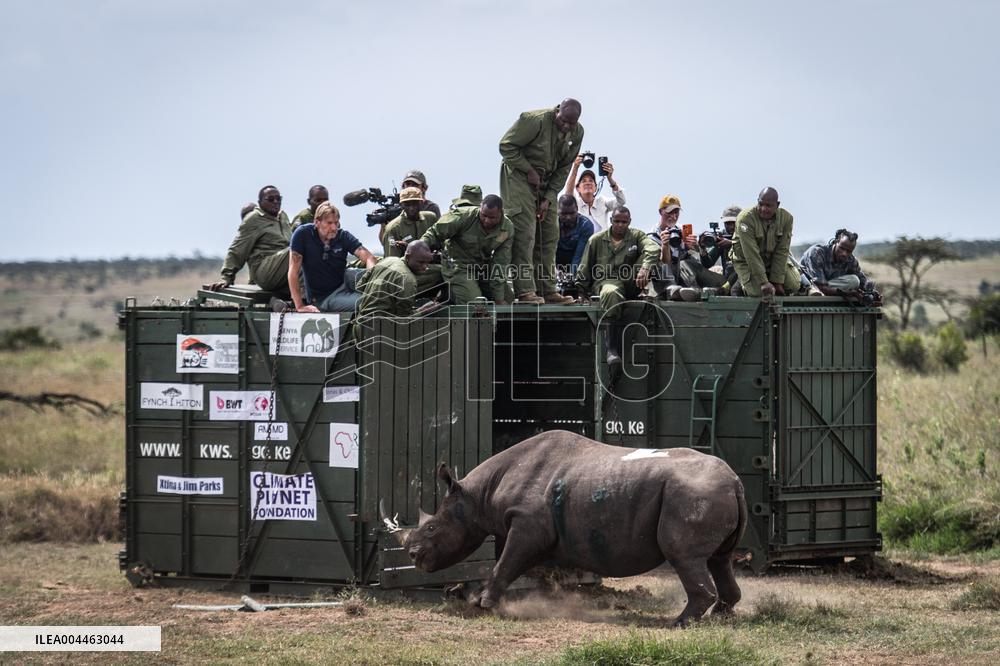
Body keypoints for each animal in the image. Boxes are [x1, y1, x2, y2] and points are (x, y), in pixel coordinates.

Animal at [405, 430, 747, 625]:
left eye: (432, 527)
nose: (411, 555)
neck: (477, 495)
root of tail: (735, 481)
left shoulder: (528, 523)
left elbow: (504, 563)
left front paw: (483, 604)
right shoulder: (516, 526)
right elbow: (503, 562)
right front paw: (470, 595)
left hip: (692, 493)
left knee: (684, 556)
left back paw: (679, 623)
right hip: (706, 491)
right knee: (719, 559)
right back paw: (720, 616)